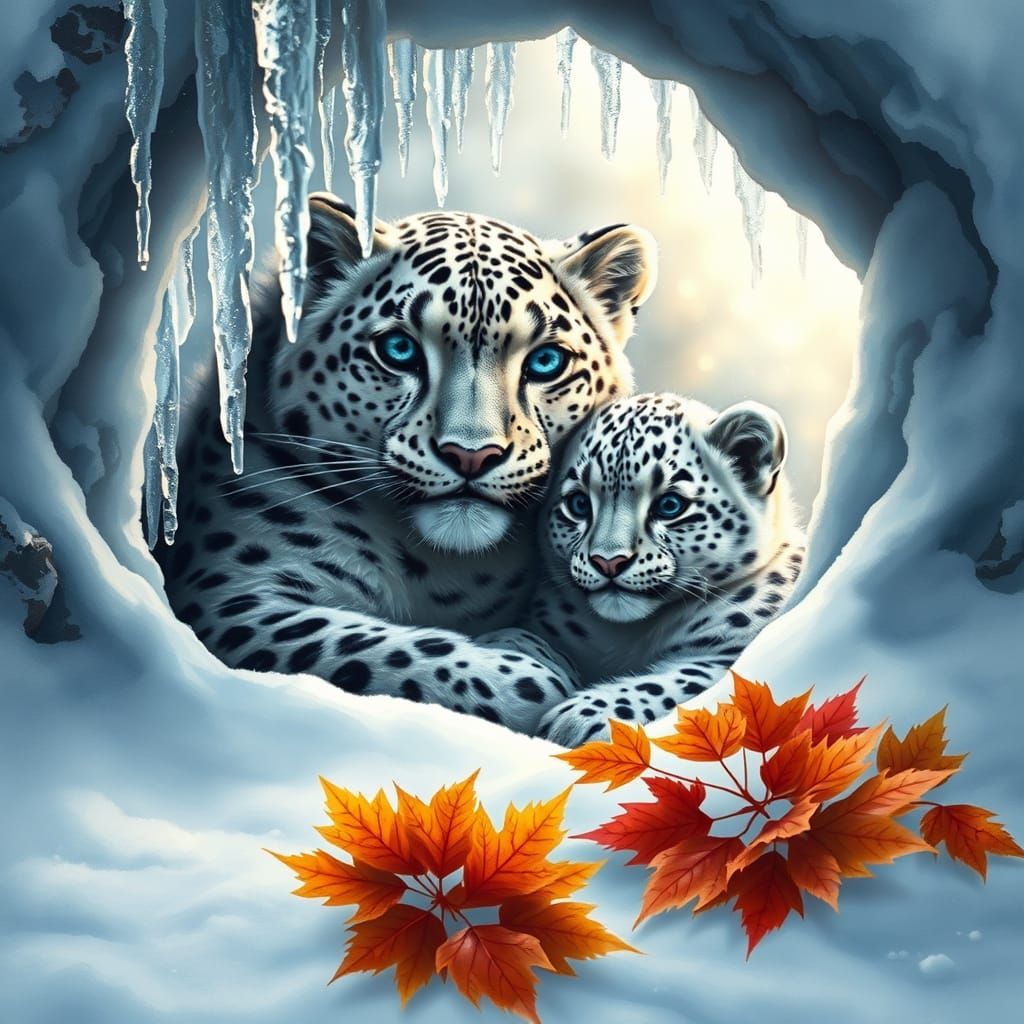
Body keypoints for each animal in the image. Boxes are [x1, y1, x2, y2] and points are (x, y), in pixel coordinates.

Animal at [159, 193, 658, 735]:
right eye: (398, 350)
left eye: (547, 362)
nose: (471, 454)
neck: (442, 569)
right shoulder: (231, 596)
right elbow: (368, 648)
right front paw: (528, 672)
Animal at [513, 392, 806, 746]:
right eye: (579, 504)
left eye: (670, 506)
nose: (608, 561)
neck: (626, 636)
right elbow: (526, 638)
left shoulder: (730, 653)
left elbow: (683, 679)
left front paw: (577, 719)